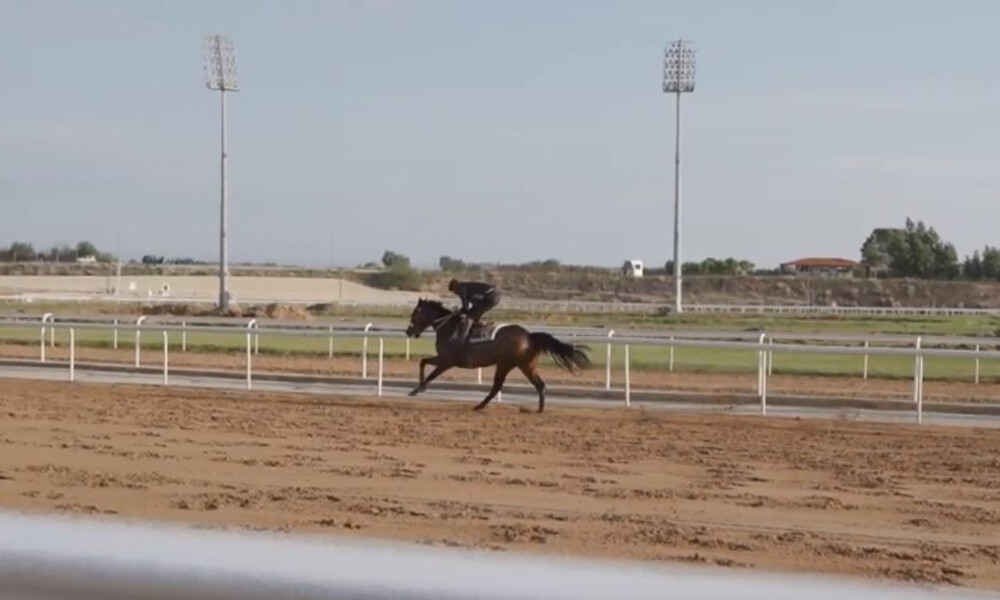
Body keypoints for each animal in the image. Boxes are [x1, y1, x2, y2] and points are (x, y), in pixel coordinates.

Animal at [402, 298, 588, 412]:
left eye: (415, 313)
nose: (408, 331)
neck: (448, 327)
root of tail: (529, 336)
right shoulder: (444, 360)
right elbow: (423, 362)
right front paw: (418, 388)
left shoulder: (447, 361)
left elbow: (428, 370)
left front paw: (417, 389)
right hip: (523, 365)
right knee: (538, 385)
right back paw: (539, 409)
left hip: (510, 364)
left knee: (499, 387)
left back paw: (480, 406)